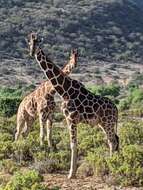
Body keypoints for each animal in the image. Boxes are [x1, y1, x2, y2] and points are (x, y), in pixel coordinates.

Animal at [27, 31, 119, 179]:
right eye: (30, 43)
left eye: (38, 43)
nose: (32, 52)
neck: (64, 90)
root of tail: (116, 109)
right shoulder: (69, 118)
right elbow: (74, 143)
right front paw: (72, 172)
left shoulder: (71, 118)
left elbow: (72, 144)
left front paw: (71, 174)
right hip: (103, 123)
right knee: (114, 140)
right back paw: (115, 163)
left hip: (108, 122)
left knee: (112, 141)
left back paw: (112, 166)